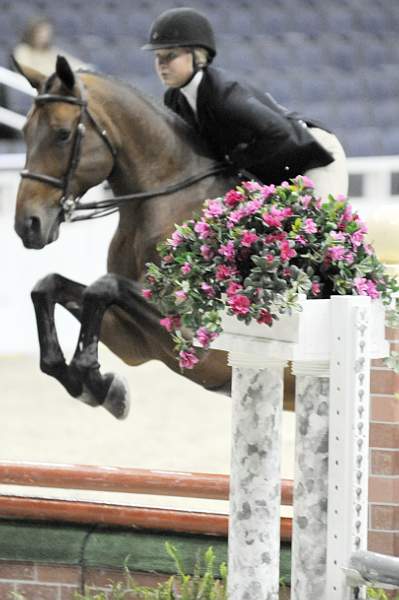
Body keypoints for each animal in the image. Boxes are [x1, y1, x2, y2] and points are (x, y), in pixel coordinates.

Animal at [14, 58, 296, 420]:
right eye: (24, 132)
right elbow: (49, 286)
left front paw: (93, 377)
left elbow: (103, 287)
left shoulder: (198, 342)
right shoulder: (131, 341)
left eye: (62, 135)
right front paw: (99, 388)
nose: (27, 225)